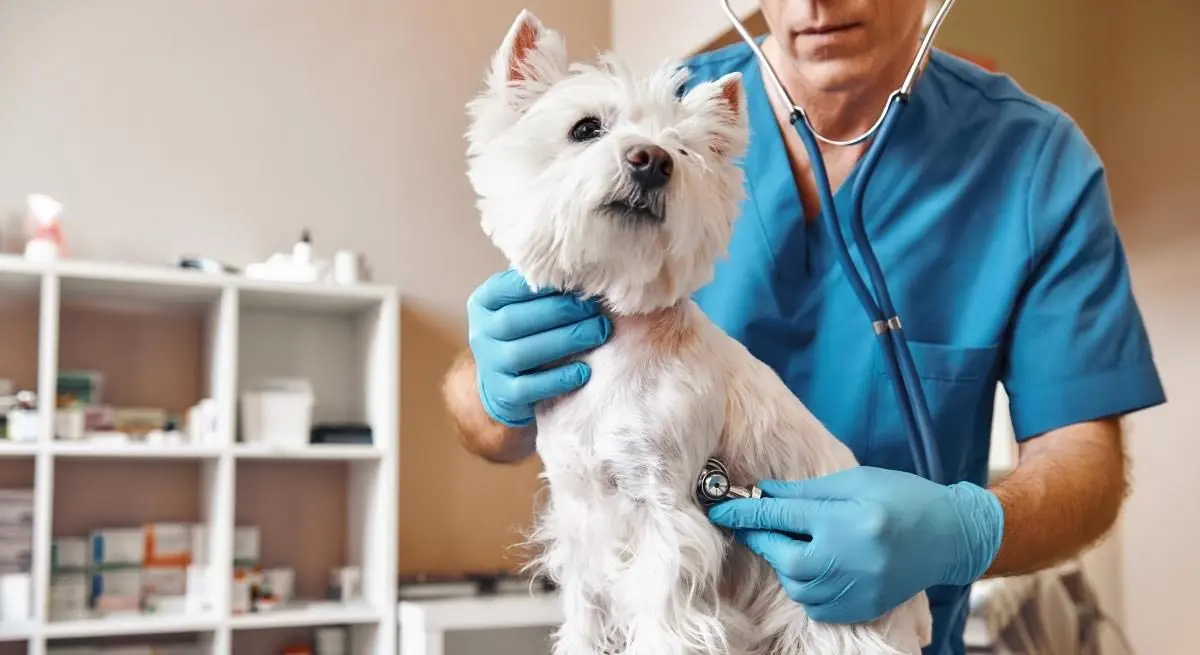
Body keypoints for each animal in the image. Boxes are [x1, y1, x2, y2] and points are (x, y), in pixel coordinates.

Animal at [463, 10, 931, 652]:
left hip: (840, 621)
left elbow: (665, 619)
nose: (652, 159)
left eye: (682, 150)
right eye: (586, 128)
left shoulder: (668, 510)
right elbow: (587, 612)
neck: (617, 339)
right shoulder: (579, 516)